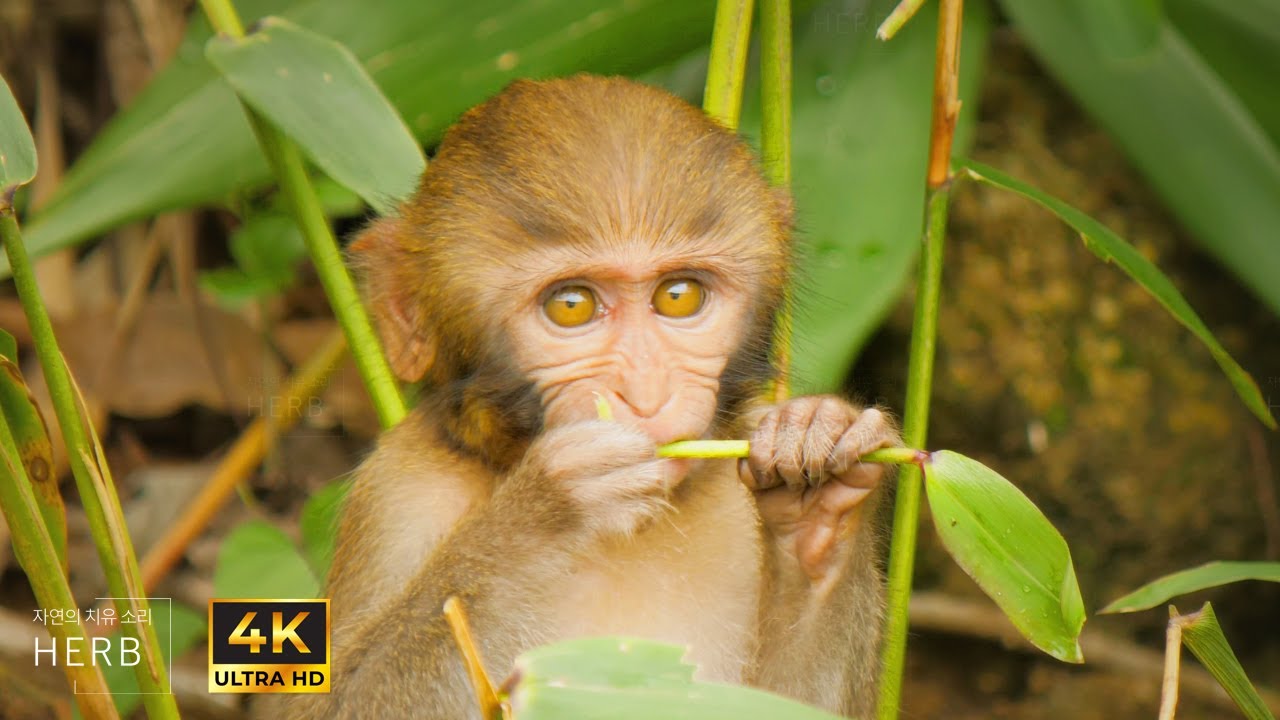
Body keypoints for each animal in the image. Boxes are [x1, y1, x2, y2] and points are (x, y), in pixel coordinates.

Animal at [276, 74, 898, 719]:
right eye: (571, 305)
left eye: (678, 296)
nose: (646, 394)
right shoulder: (398, 492)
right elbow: (338, 700)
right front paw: (543, 514)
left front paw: (817, 481)